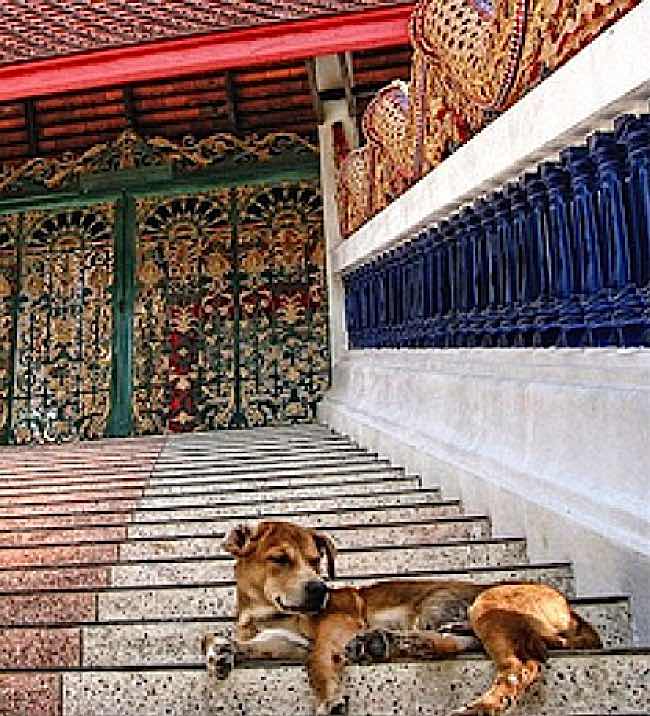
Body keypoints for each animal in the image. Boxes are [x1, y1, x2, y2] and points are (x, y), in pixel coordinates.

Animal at [201, 520, 596, 716]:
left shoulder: (338, 623)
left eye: (316, 561)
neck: (264, 613)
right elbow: (229, 641)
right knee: (455, 642)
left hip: (486, 603)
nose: (319, 590)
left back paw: (478, 707)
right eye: (279, 559)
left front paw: (329, 699)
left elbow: (318, 658)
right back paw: (389, 642)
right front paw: (221, 651)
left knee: (520, 667)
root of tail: (570, 609)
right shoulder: (284, 642)